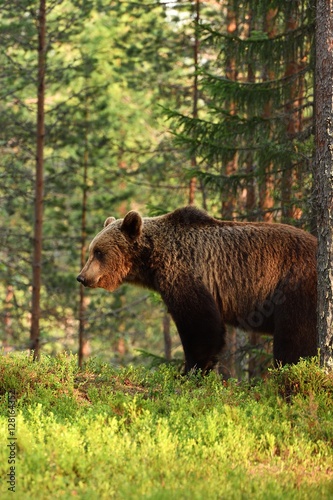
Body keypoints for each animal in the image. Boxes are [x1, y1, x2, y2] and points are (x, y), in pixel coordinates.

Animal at [76, 205, 316, 374]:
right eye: (92, 250)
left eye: (98, 252)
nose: (82, 277)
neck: (152, 261)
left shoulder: (186, 273)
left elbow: (201, 325)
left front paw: (191, 369)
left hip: (293, 287)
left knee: (294, 338)